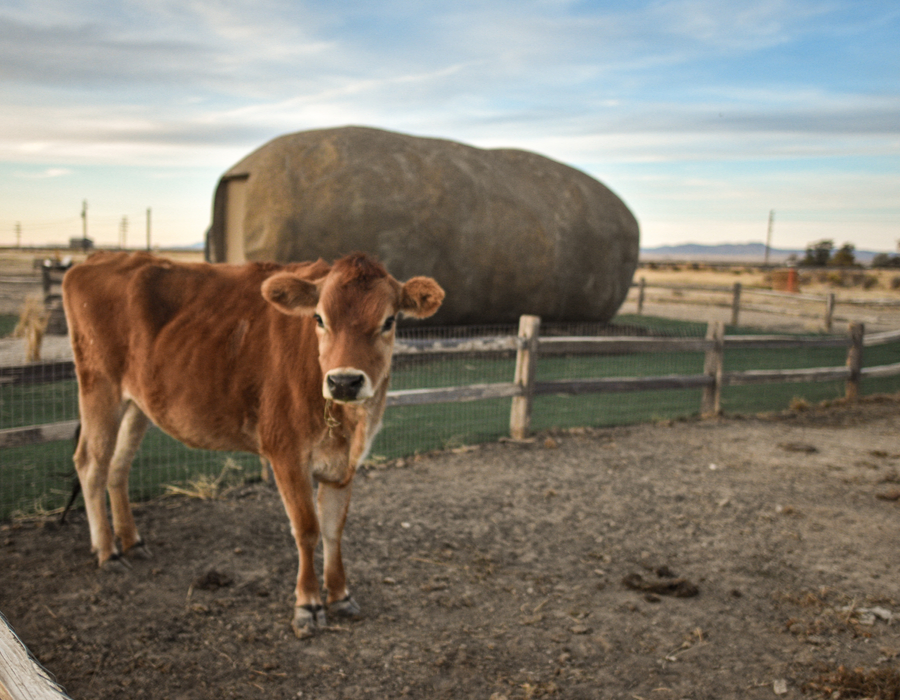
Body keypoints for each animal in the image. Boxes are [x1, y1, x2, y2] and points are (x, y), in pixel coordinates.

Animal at [62, 250, 442, 636]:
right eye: (319, 318)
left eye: (389, 321)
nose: (344, 382)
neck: (348, 424)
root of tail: (101, 257)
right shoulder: (285, 452)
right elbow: (307, 529)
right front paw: (308, 605)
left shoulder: (343, 465)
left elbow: (334, 529)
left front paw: (340, 596)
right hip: (99, 384)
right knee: (91, 464)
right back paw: (108, 552)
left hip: (137, 403)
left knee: (118, 467)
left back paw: (132, 542)